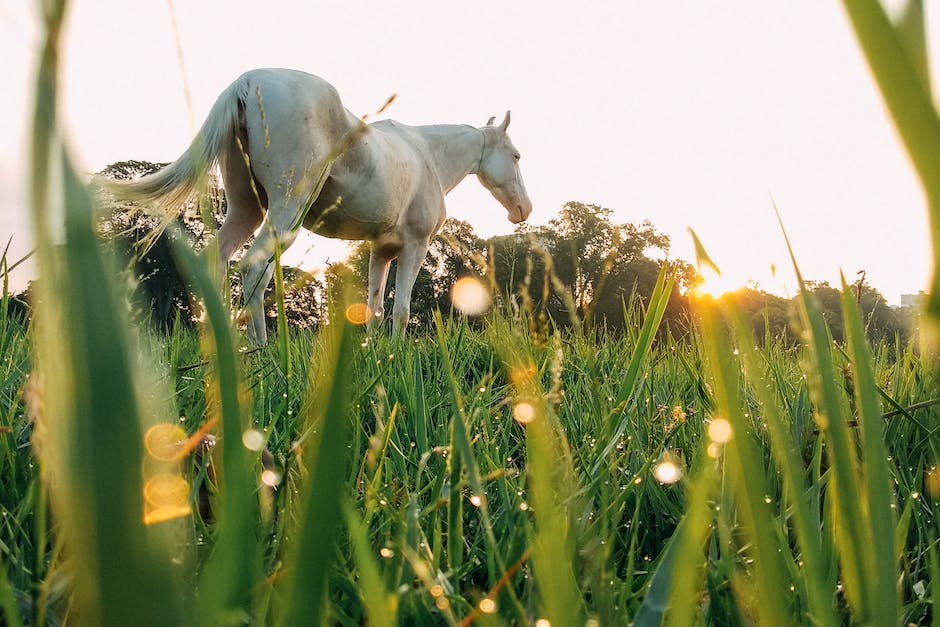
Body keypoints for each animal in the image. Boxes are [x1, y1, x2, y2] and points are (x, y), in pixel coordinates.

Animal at [103, 68, 532, 348]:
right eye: (516, 155)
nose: (523, 210)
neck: (426, 155)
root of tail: (248, 81)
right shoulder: (415, 245)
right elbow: (401, 309)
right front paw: (396, 355)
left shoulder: (382, 251)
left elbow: (375, 307)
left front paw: (376, 356)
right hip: (285, 211)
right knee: (254, 267)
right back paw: (263, 353)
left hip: (246, 210)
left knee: (217, 262)